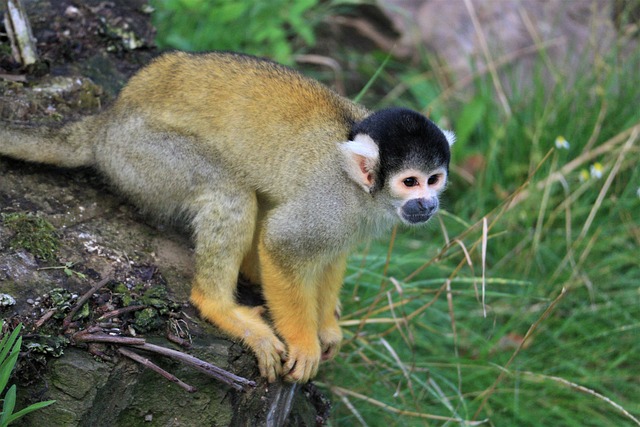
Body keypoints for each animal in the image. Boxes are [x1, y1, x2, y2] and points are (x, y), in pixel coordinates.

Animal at [0, 51, 454, 383]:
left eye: (434, 179)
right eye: (410, 182)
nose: (428, 203)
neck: (364, 192)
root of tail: (107, 123)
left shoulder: (351, 218)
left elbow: (330, 257)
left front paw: (326, 327)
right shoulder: (331, 201)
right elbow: (283, 243)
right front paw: (305, 342)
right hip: (143, 157)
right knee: (229, 192)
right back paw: (219, 305)